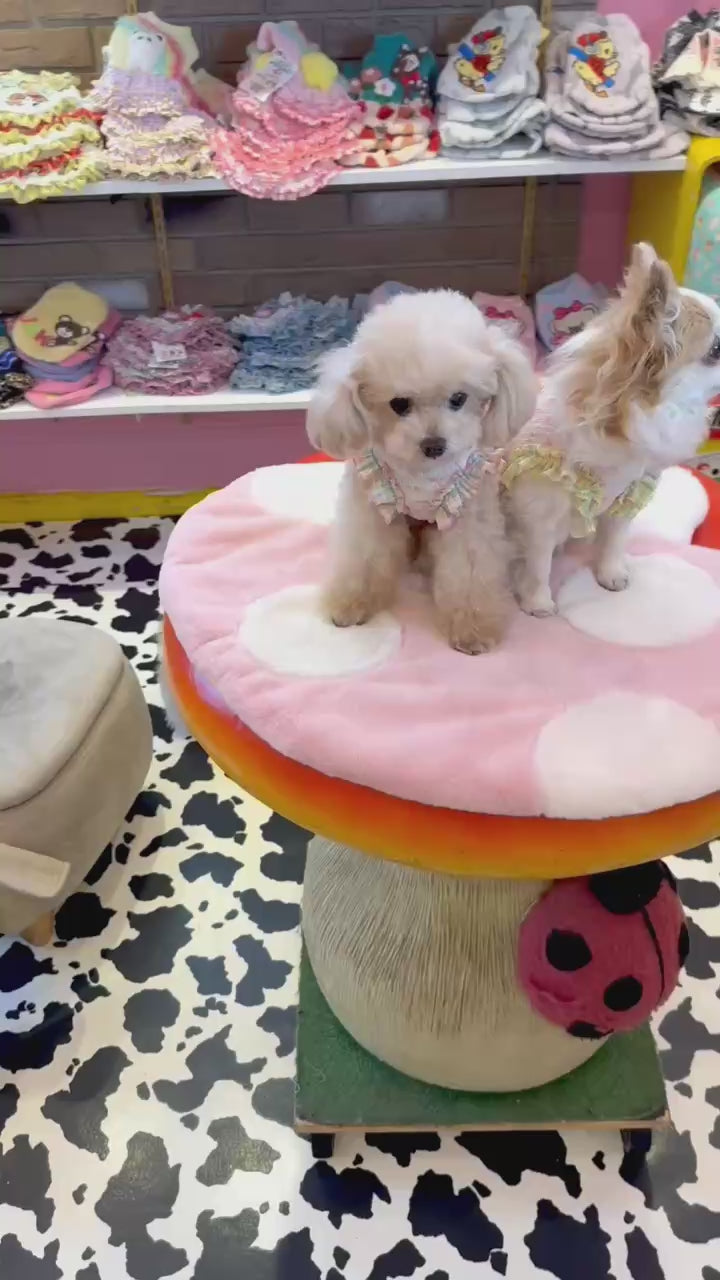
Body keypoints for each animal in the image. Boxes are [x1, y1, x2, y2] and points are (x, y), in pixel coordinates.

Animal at [306, 289, 537, 654]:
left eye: (459, 398)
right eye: (399, 404)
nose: (434, 445)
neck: (422, 475)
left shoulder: (467, 514)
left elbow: (469, 569)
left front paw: (472, 629)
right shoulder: (372, 506)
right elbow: (363, 555)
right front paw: (351, 605)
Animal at [504, 242, 720, 617]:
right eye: (717, 351)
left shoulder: (626, 498)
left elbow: (614, 540)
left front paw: (610, 573)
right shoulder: (540, 513)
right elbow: (539, 563)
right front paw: (538, 602)